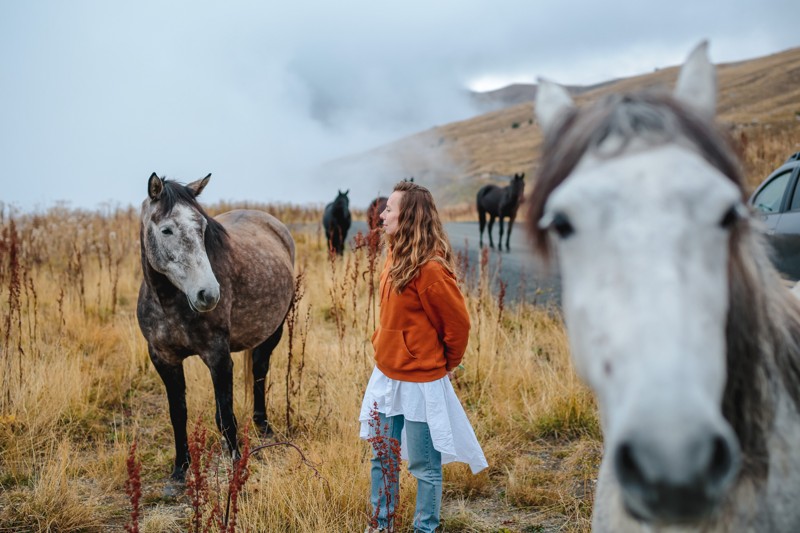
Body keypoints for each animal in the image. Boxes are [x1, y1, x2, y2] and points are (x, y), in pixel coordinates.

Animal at [136, 172, 296, 480]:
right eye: (166, 230)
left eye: (203, 228)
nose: (208, 294)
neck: (169, 303)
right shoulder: (163, 358)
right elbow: (178, 413)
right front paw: (179, 470)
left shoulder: (218, 357)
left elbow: (225, 416)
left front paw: (236, 470)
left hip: (274, 330)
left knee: (260, 370)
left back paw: (263, 425)